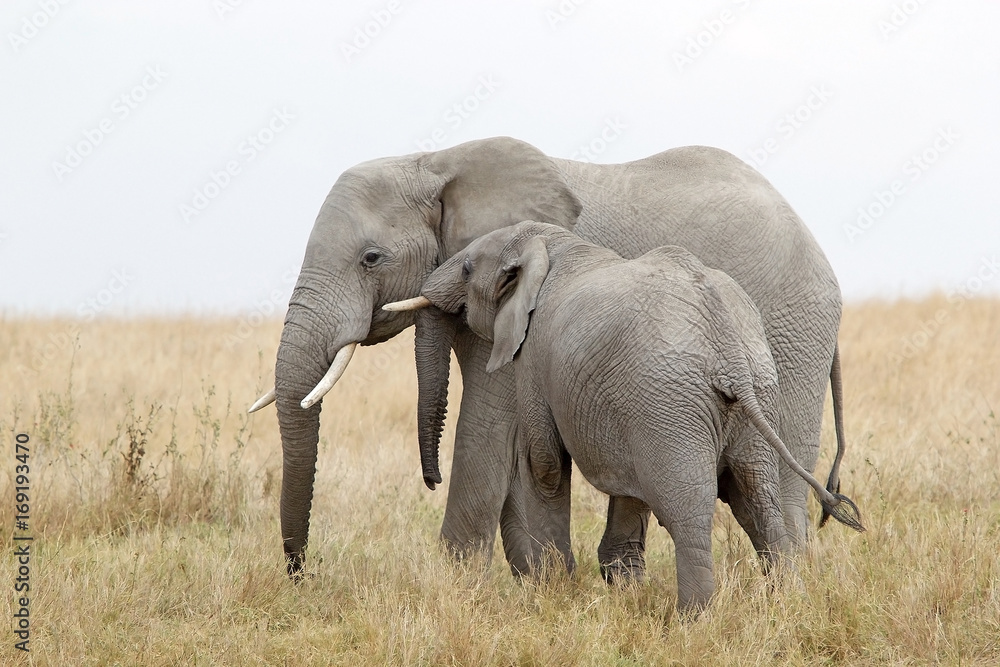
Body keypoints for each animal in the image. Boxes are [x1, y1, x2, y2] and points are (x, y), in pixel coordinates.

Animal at [247, 136, 849, 580]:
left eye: (372, 258)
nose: (301, 574)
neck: (434, 160)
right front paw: (540, 579)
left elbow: (487, 424)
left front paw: (451, 586)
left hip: (790, 335)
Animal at [384, 221, 863, 612]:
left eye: (467, 269)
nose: (432, 480)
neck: (548, 241)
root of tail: (727, 346)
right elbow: (626, 484)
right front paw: (620, 587)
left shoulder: (535, 356)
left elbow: (545, 463)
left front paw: (555, 588)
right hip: (751, 396)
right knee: (758, 502)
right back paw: (790, 607)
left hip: (674, 405)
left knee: (689, 512)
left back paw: (694, 620)